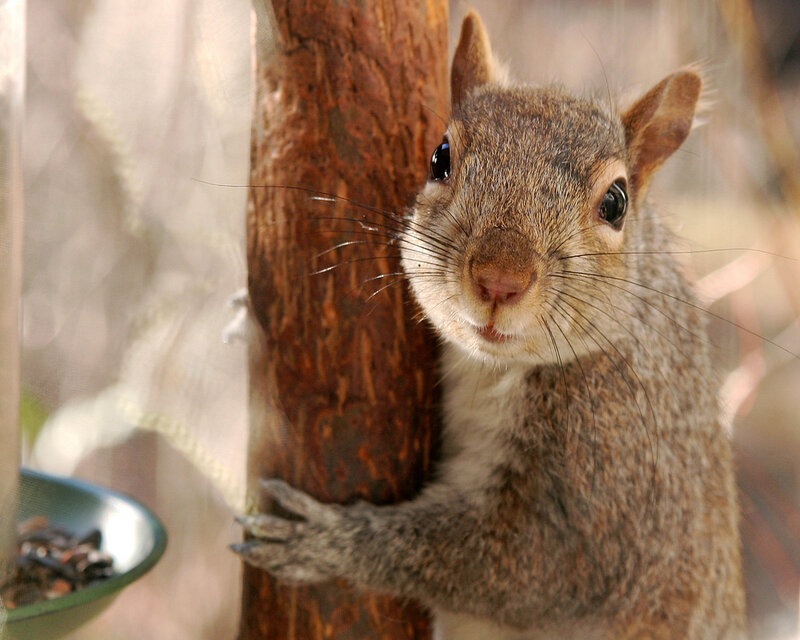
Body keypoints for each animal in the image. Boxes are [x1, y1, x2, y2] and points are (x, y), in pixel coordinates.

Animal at [233, 11, 746, 640]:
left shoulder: (613, 468)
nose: (500, 280)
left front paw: (332, 543)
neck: (493, 367)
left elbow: (525, 570)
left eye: (617, 203)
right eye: (440, 157)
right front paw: (242, 318)